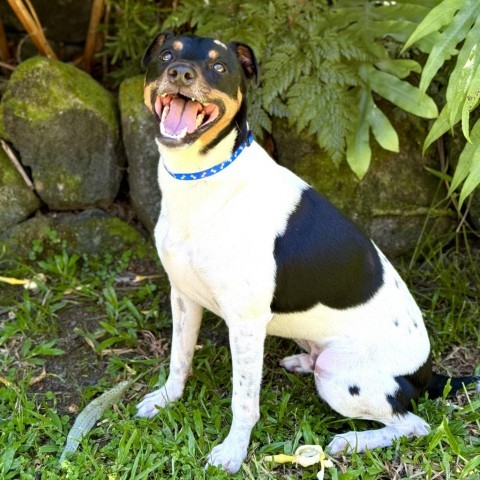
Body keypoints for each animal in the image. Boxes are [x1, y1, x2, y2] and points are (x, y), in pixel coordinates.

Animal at [136, 32, 480, 472]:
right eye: (166, 55)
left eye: (218, 66)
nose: (180, 72)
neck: (202, 180)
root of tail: (427, 372)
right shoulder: (183, 296)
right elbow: (179, 359)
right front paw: (166, 400)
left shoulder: (245, 322)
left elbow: (244, 400)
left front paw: (233, 451)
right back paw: (302, 362)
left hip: (340, 377)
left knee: (413, 424)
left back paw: (349, 441)